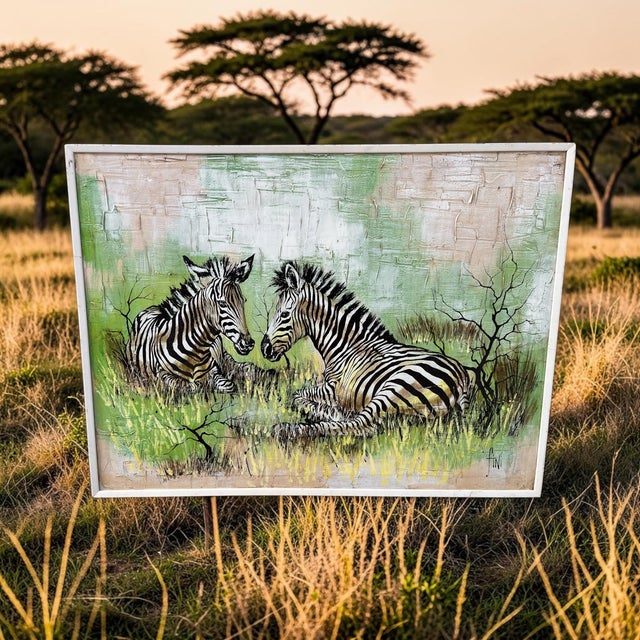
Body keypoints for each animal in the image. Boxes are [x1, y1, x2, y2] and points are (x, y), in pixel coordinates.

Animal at [124, 254, 255, 395]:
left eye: (243, 301)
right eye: (222, 303)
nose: (248, 343)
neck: (196, 350)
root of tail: (152, 309)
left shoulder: (214, 369)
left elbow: (228, 384)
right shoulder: (162, 375)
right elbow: (190, 386)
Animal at [260, 261, 475, 438]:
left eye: (284, 314)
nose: (265, 349)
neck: (345, 347)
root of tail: (463, 375)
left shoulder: (334, 387)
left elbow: (297, 396)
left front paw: (332, 411)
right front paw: (333, 411)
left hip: (395, 386)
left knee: (364, 426)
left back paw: (288, 430)